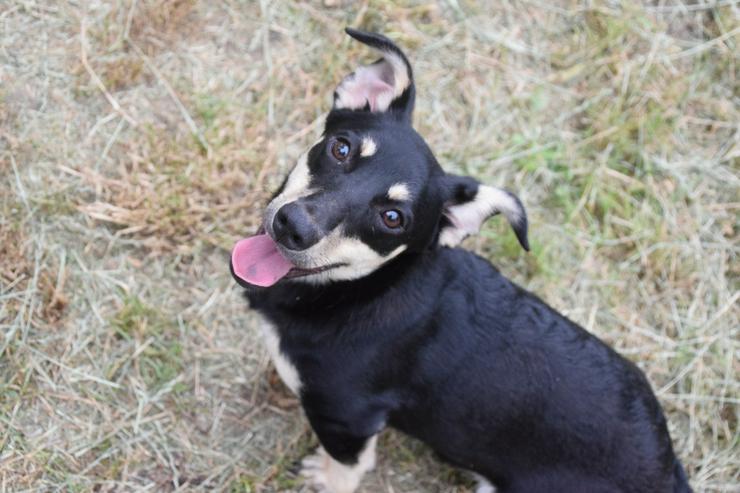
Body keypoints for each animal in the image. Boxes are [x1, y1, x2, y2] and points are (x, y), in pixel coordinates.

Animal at [228, 28, 692, 492]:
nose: (292, 226)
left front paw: (323, 476)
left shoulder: (349, 418)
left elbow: (348, 467)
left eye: (393, 218)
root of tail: (668, 469)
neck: (361, 291)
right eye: (341, 148)